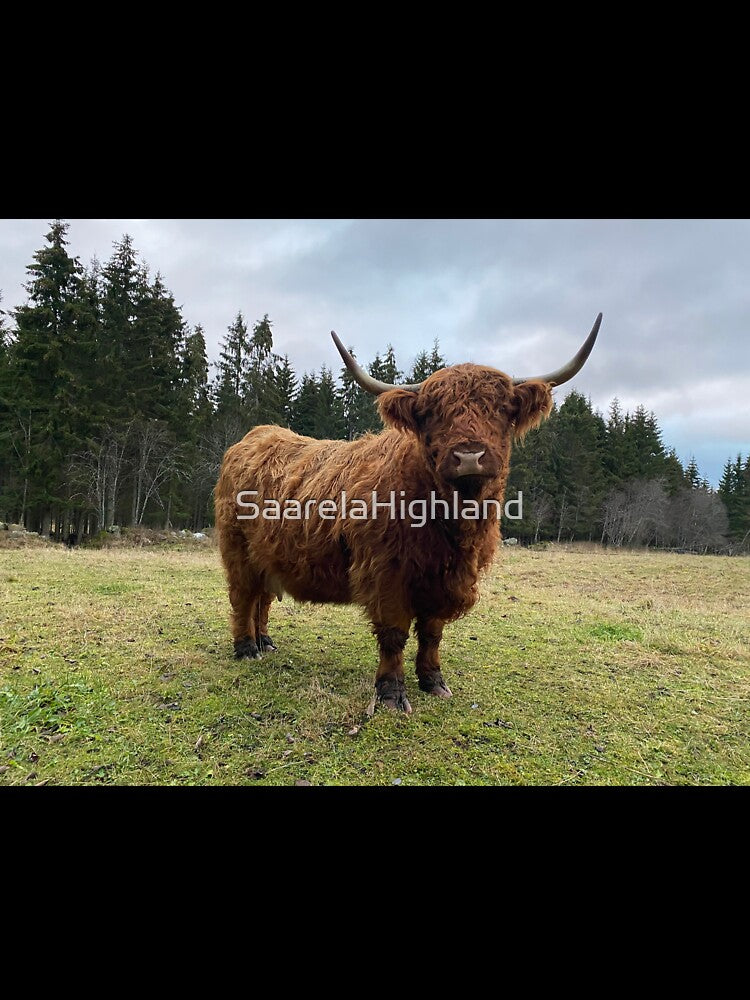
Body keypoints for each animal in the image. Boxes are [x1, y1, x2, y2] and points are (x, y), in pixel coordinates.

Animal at [215, 314, 602, 713]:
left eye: (501, 410)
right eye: (432, 414)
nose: (469, 456)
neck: (451, 525)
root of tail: (255, 436)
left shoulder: (448, 581)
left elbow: (432, 634)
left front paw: (433, 681)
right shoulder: (386, 573)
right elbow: (394, 634)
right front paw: (391, 692)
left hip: (267, 555)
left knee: (261, 597)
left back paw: (265, 642)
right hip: (238, 549)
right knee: (243, 596)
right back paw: (246, 648)